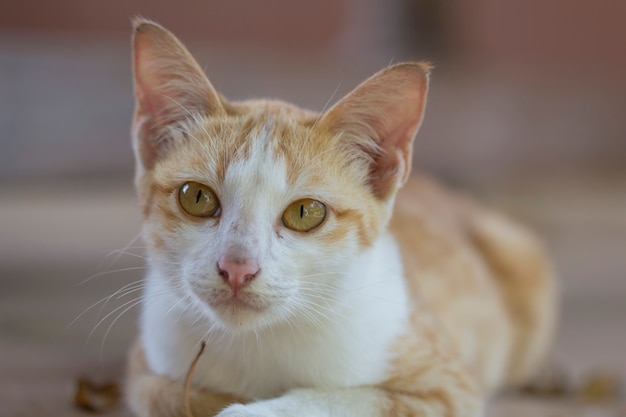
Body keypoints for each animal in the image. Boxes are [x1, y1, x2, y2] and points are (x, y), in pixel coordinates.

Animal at [125, 18, 556, 416]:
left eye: (305, 213)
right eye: (197, 197)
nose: (237, 268)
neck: (259, 341)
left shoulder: (447, 384)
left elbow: (340, 399)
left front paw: (247, 410)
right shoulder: (146, 364)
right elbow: (162, 395)